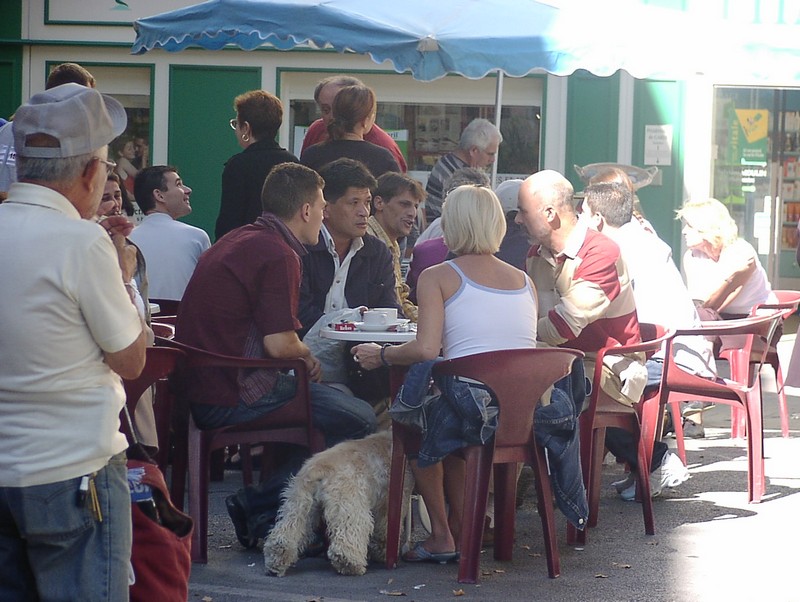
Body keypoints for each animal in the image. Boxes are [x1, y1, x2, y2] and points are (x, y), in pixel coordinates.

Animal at [264, 428, 412, 576]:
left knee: (285, 534)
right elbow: (385, 530)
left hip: (299, 505)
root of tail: (318, 467)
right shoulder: (390, 503)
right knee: (347, 537)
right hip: (350, 507)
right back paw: (349, 564)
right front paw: (383, 553)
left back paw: (277, 559)